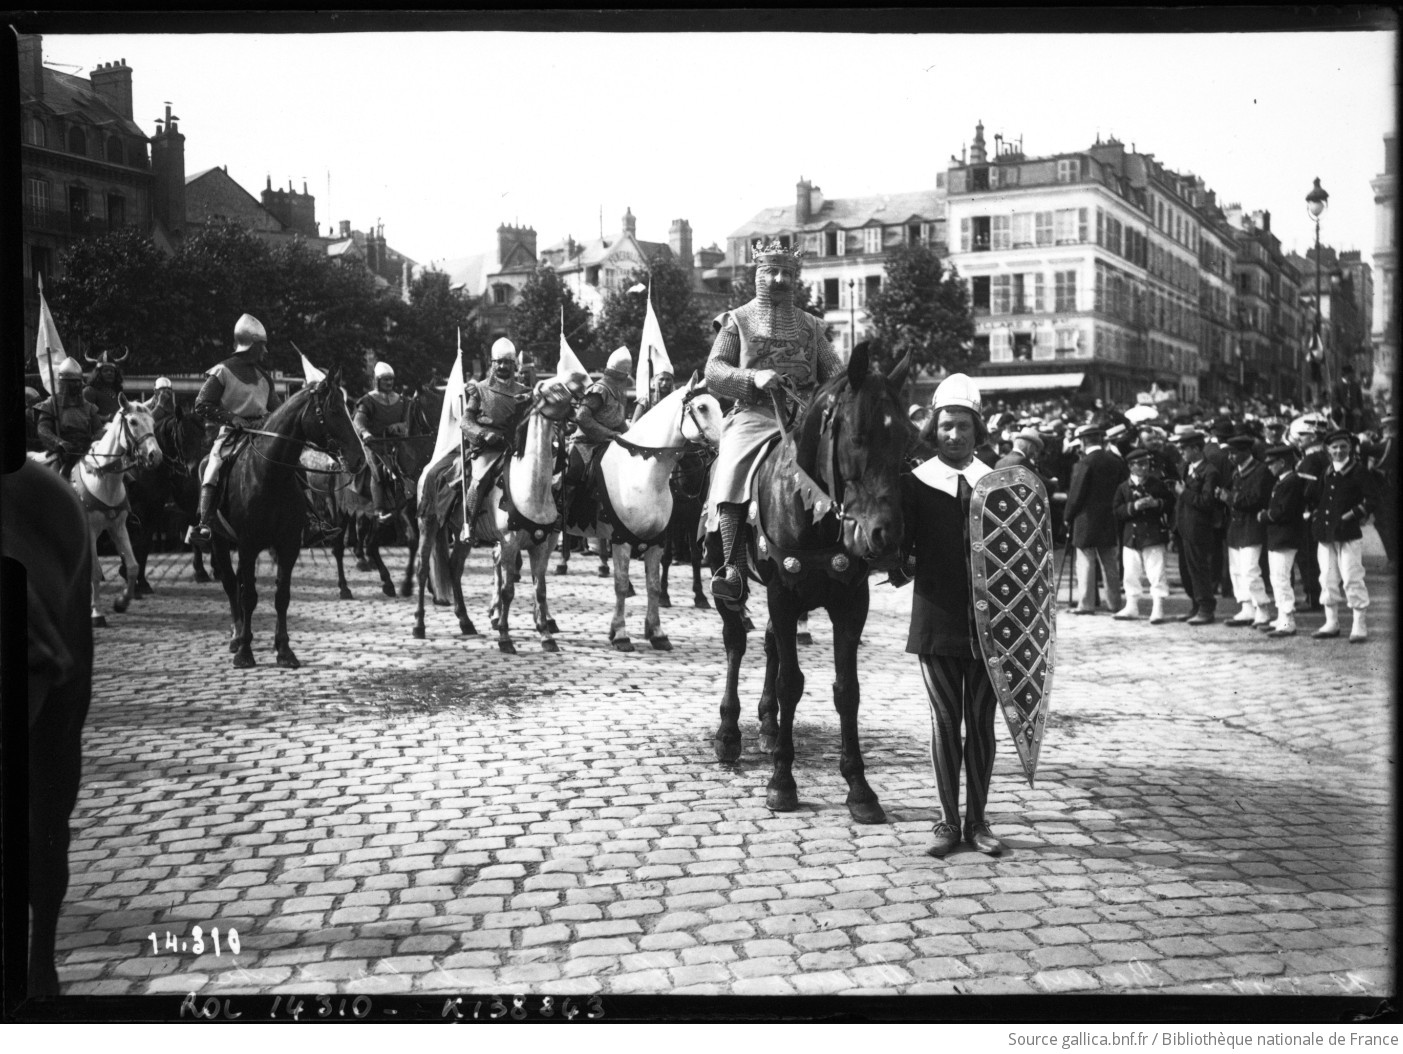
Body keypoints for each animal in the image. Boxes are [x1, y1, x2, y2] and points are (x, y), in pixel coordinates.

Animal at [69, 398, 162, 623]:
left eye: (152, 423)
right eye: (133, 422)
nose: (155, 456)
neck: (102, 477)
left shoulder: (118, 527)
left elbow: (133, 566)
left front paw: (122, 602)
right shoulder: (91, 531)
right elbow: (94, 571)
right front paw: (96, 612)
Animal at [209, 373, 364, 668]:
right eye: (334, 411)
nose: (359, 459)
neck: (269, 475)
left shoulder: (288, 545)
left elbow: (282, 597)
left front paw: (284, 650)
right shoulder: (247, 545)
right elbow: (249, 596)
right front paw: (245, 652)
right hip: (219, 542)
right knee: (231, 584)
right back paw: (236, 636)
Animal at [566, 370, 723, 651]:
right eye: (703, 407)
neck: (644, 474)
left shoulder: (656, 540)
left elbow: (653, 585)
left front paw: (657, 633)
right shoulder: (622, 540)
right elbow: (619, 585)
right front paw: (620, 634)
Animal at [707, 346, 914, 825]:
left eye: (907, 440)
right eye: (857, 436)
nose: (885, 537)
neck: (812, 506)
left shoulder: (851, 602)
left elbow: (846, 690)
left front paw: (859, 788)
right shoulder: (783, 594)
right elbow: (791, 683)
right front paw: (782, 781)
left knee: (768, 646)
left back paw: (767, 725)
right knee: (735, 642)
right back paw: (729, 733)